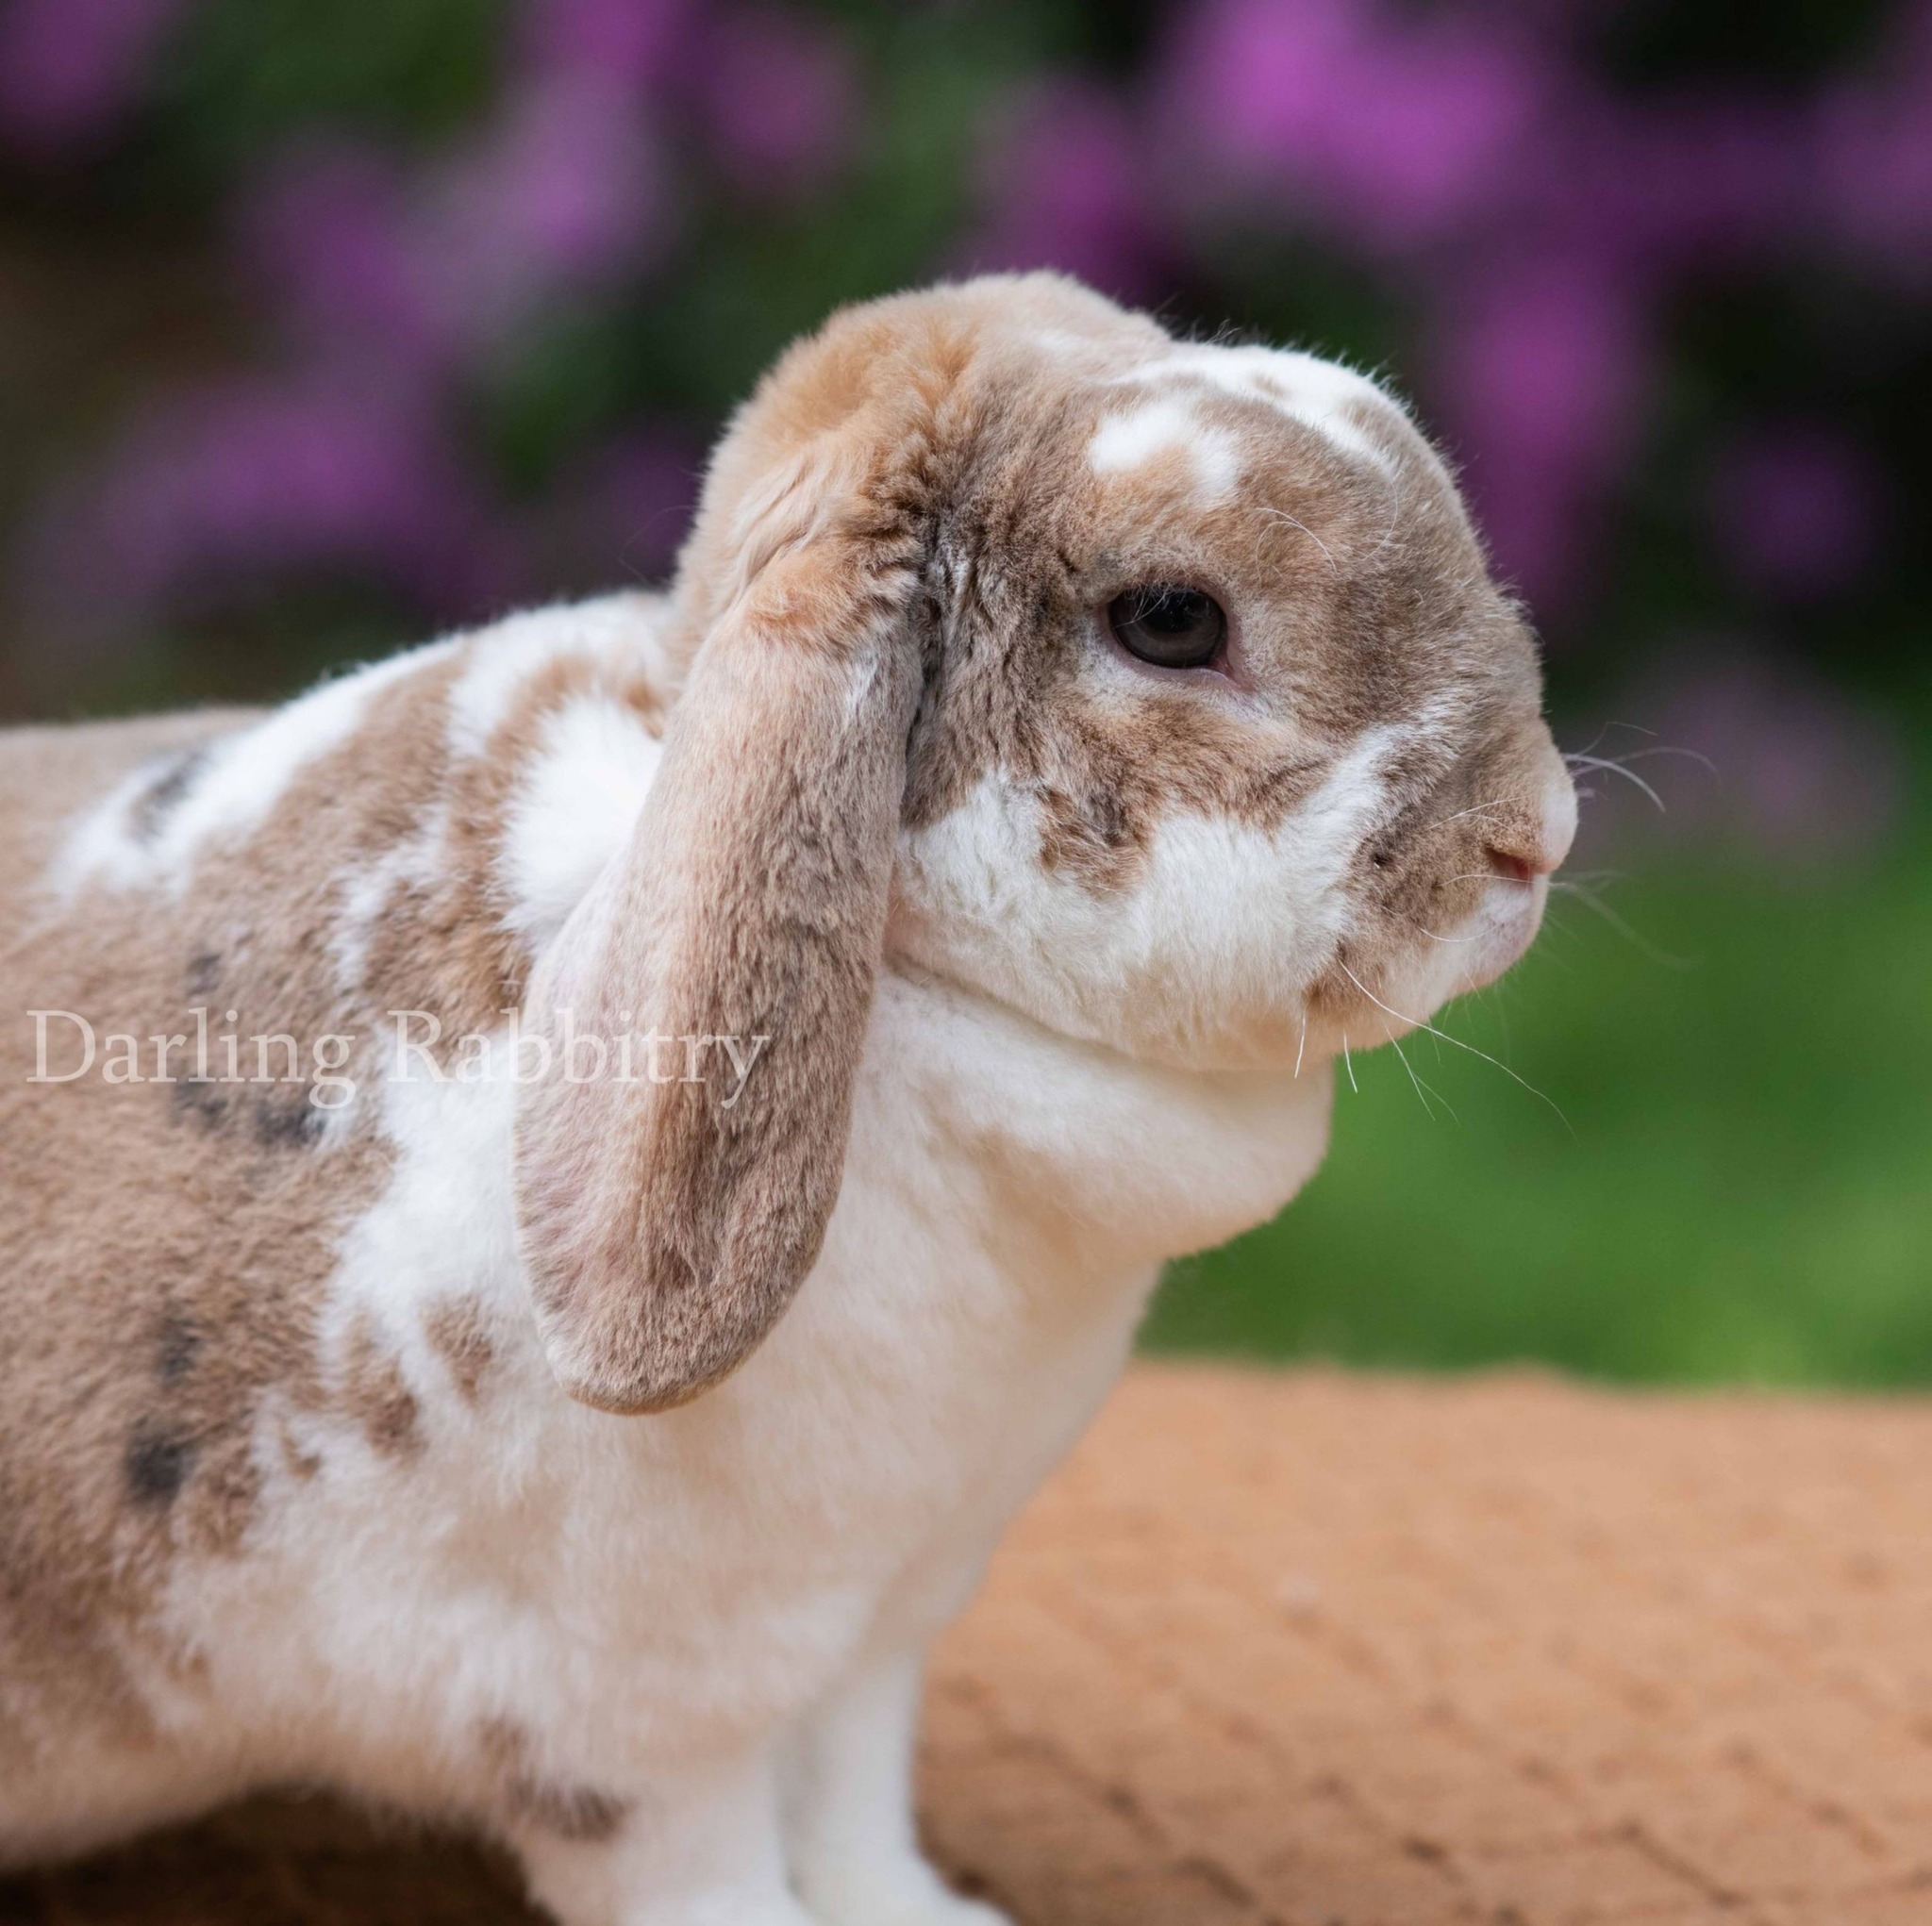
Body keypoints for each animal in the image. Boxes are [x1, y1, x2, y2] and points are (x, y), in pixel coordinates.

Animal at [0, 272, 1574, 1925]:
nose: (1531, 837)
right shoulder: (634, 1728)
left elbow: (856, 1815)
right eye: (1170, 618)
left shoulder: (874, 1639)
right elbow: (716, 1878)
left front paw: (936, 1917)